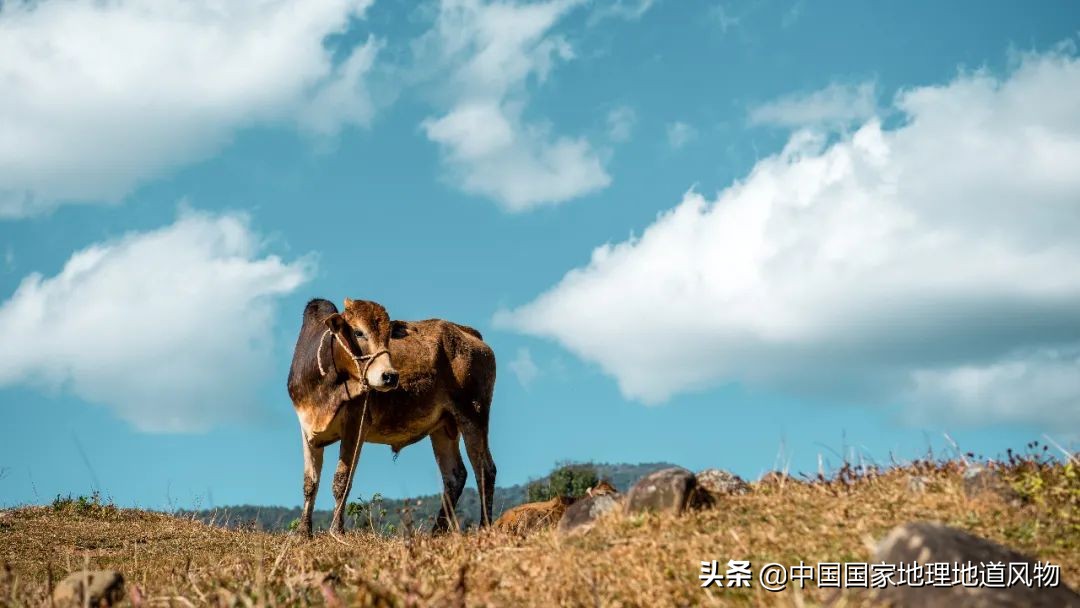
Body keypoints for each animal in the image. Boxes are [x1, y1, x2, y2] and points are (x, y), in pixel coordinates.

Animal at [280, 298, 494, 535]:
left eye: (387, 336)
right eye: (358, 332)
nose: (390, 376)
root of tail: (469, 333)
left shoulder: (355, 424)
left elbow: (341, 481)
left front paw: (337, 530)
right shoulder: (307, 429)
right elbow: (310, 483)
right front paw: (303, 532)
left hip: (473, 414)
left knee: (484, 469)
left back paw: (484, 526)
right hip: (444, 426)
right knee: (455, 475)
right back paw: (437, 531)